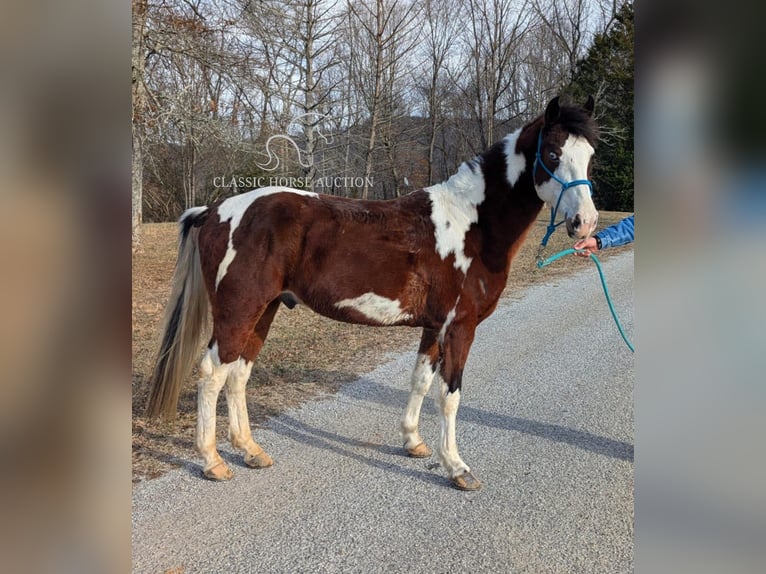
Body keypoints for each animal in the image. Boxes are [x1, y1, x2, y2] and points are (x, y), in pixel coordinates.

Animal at [144, 97, 600, 492]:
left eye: (590, 154)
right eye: (553, 154)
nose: (585, 222)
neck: (471, 225)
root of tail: (215, 211)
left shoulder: (434, 326)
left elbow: (420, 380)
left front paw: (414, 442)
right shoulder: (460, 327)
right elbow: (449, 395)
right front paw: (457, 467)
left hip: (265, 310)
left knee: (238, 375)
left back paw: (251, 451)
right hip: (239, 311)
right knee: (212, 373)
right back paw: (213, 461)